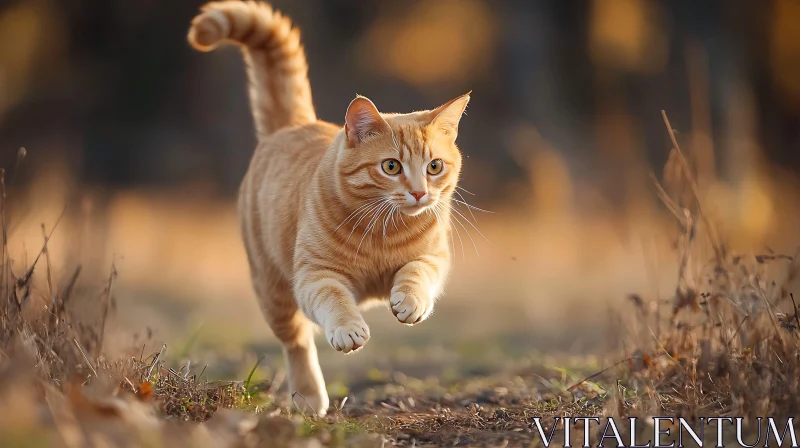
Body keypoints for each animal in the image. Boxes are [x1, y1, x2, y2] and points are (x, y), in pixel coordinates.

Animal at [188, 0, 468, 416]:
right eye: (391, 167)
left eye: (434, 167)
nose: (419, 193)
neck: (384, 230)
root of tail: (293, 126)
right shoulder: (314, 275)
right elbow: (334, 300)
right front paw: (348, 329)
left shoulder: (435, 257)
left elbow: (416, 273)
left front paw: (410, 301)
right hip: (273, 290)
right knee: (297, 343)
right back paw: (309, 397)